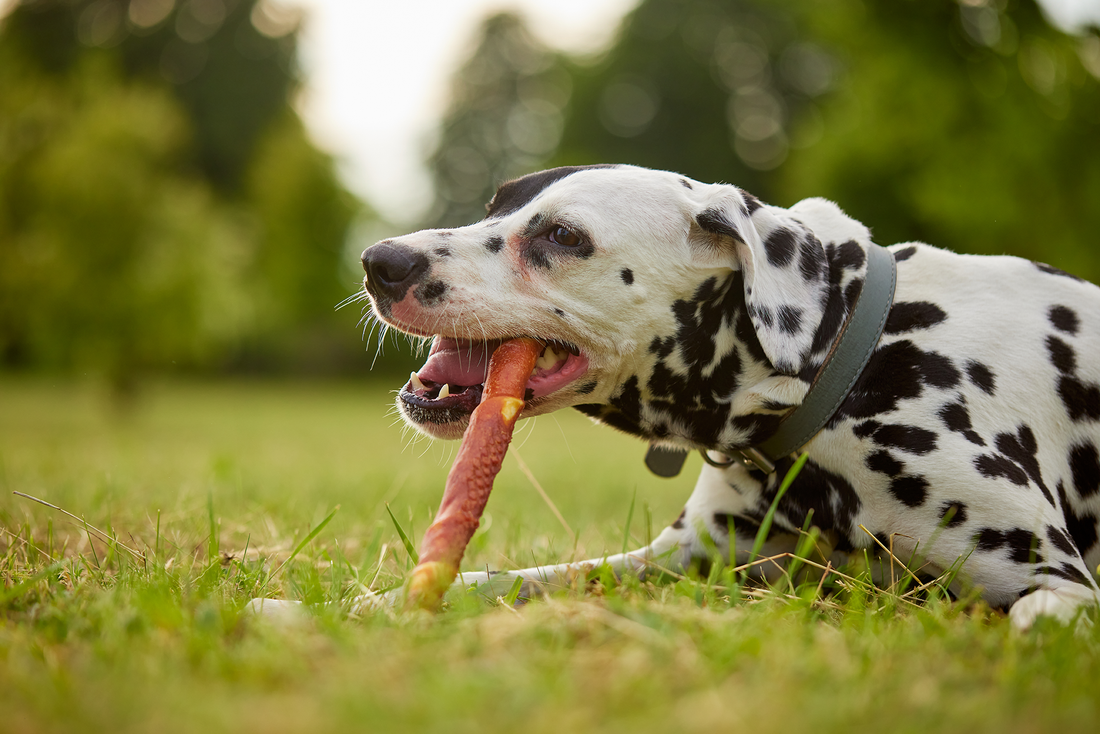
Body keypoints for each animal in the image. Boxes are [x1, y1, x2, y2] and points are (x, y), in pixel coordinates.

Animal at [266, 163, 1100, 629]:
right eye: (496, 203)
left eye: (564, 236)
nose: (382, 262)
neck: (836, 362)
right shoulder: (677, 560)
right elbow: (489, 578)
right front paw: (324, 610)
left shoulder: (1057, 585)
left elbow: (1035, 621)